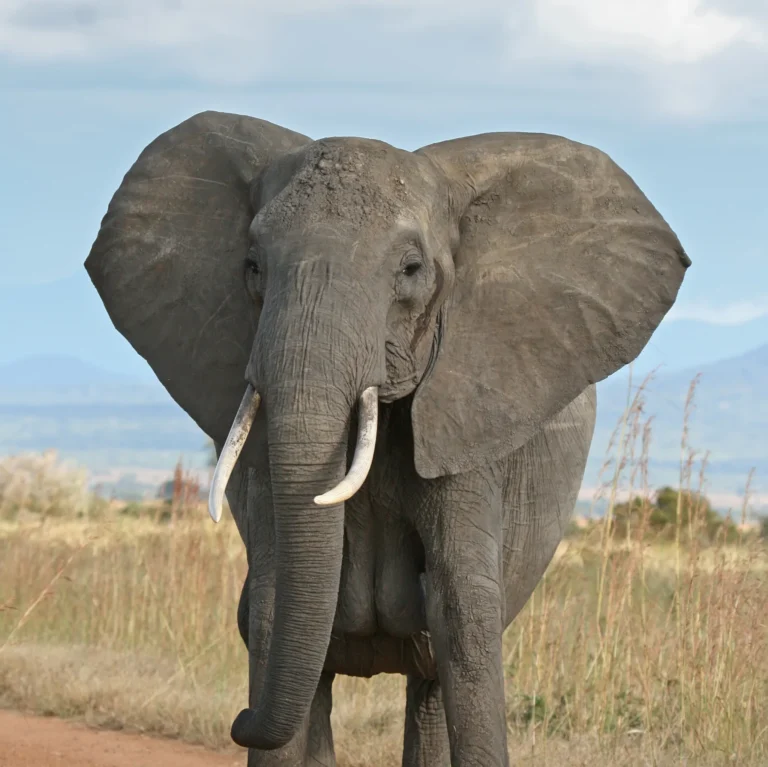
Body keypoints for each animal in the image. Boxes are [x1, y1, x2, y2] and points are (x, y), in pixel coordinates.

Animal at [85, 111, 690, 766]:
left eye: (411, 269)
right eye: (252, 267)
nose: (238, 720)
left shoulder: (470, 411)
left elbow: (463, 615)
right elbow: (273, 605)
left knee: (429, 680)